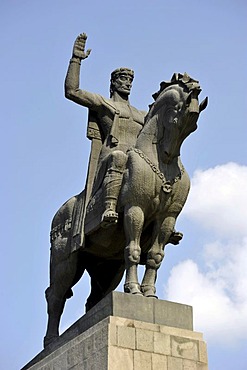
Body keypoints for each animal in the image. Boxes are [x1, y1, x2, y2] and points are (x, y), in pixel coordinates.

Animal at [43, 73, 207, 346]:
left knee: (93, 298)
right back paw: (51, 341)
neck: (163, 161)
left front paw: (149, 294)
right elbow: (133, 250)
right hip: (66, 263)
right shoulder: (135, 209)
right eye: (181, 102)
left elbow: (154, 257)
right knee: (56, 296)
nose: (196, 101)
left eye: (194, 120)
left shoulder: (167, 218)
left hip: (107, 268)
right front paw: (133, 291)